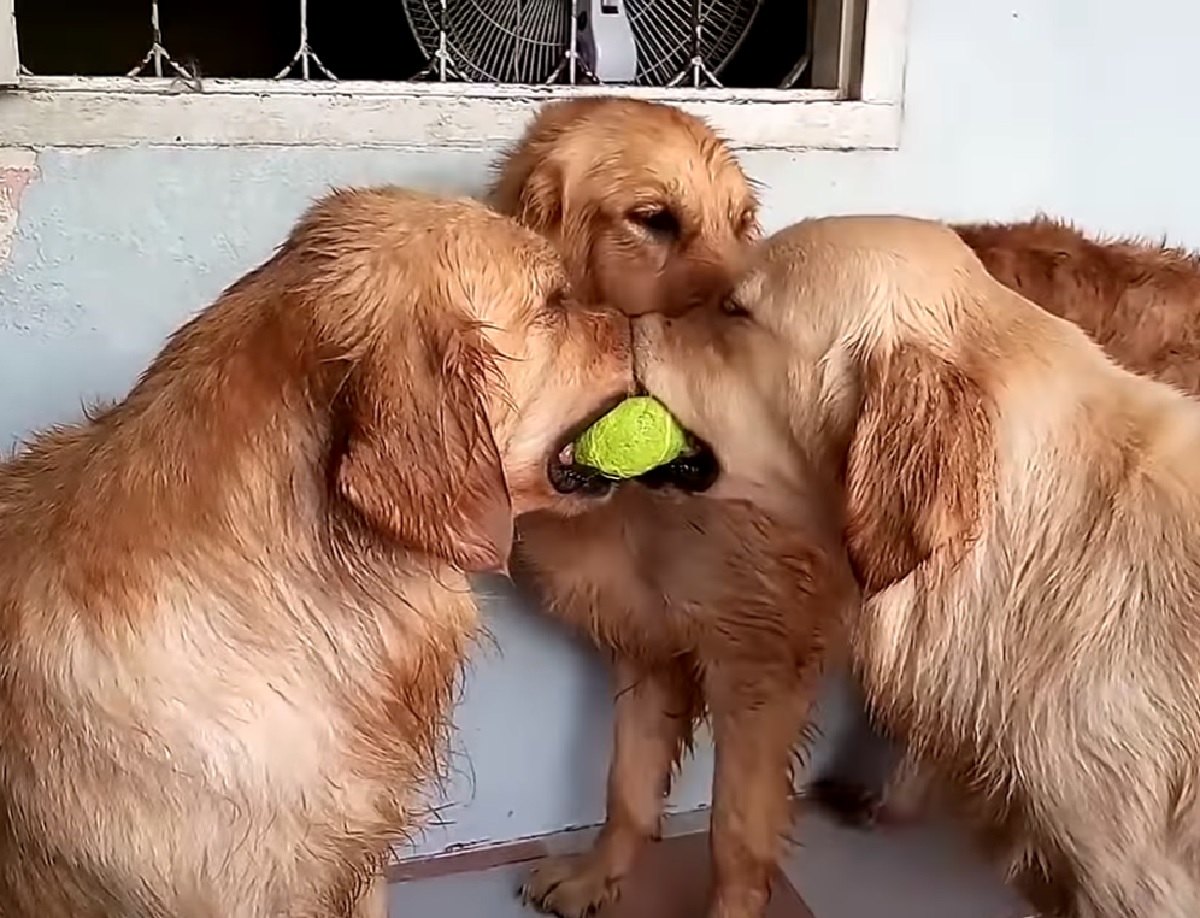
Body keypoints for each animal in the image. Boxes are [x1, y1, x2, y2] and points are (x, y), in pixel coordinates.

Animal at [487, 94, 854, 916]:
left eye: (742, 223)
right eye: (653, 219)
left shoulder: (759, 666)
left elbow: (734, 834)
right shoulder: (651, 646)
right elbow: (626, 785)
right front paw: (598, 876)